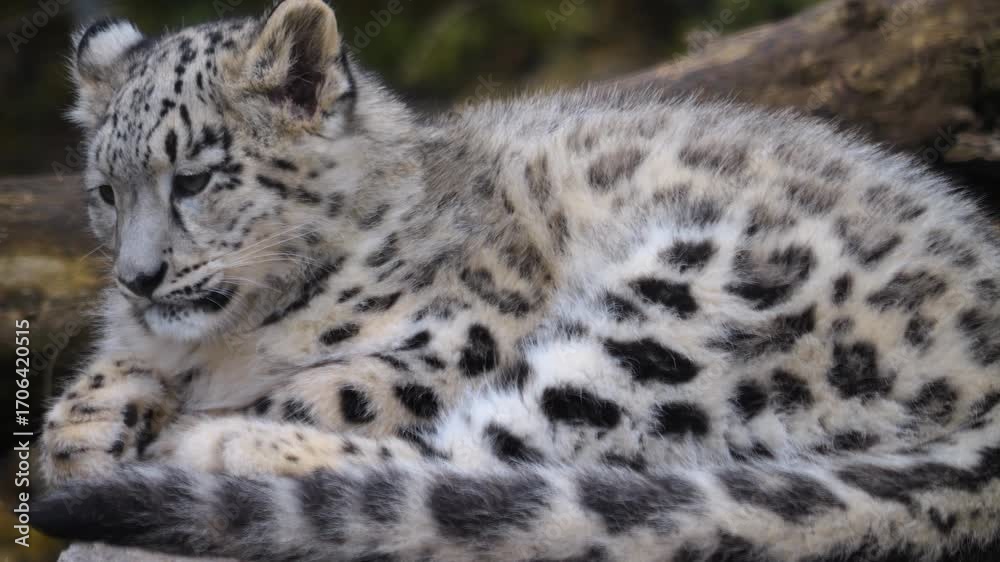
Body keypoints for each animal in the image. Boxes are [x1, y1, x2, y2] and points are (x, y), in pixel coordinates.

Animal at [34, 1, 1000, 561]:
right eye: (106, 191)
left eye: (196, 177)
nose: (138, 277)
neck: (230, 337)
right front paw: (85, 424)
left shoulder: (460, 330)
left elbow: (335, 387)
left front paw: (175, 430)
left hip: (682, 317)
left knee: (490, 458)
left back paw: (216, 448)